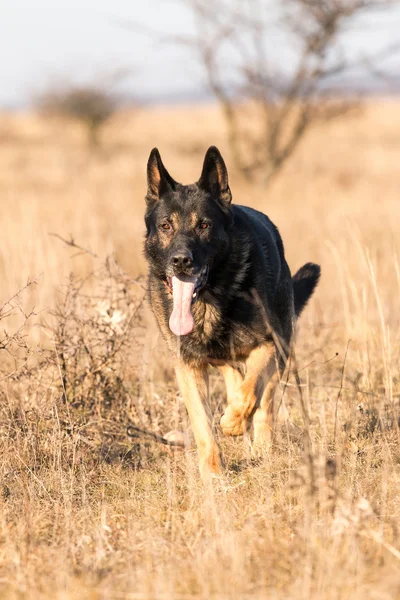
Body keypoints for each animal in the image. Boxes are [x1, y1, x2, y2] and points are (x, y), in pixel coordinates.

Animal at [144, 145, 318, 478]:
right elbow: (202, 423)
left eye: (204, 225)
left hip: (281, 350)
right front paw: (213, 472)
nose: (181, 261)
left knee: (264, 402)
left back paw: (260, 444)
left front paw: (233, 422)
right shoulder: (187, 365)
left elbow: (250, 393)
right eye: (165, 226)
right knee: (232, 373)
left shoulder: (269, 344)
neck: (210, 300)